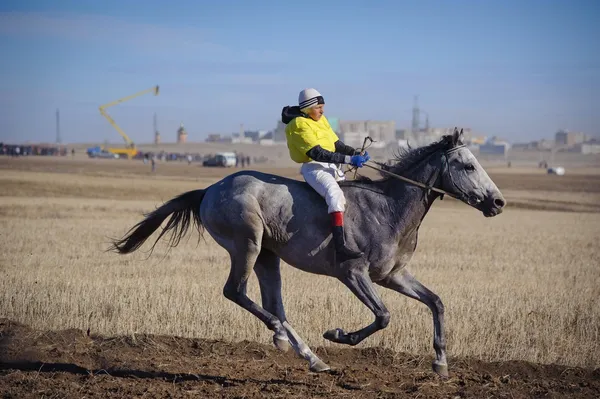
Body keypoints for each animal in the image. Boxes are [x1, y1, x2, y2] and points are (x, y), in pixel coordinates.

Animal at [110, 128, 504, 378]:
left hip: (268, 257)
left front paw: (441, 363)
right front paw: (339, 335)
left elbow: (436, 302)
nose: (497, 202)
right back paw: (282, 336)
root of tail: (210, 188)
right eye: (469, 165)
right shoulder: (353, 274)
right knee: (236, 292)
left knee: (275, 304)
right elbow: (383, 316)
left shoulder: (392, 276)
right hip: (247, 244)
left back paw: (307, 355)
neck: (388, 208)